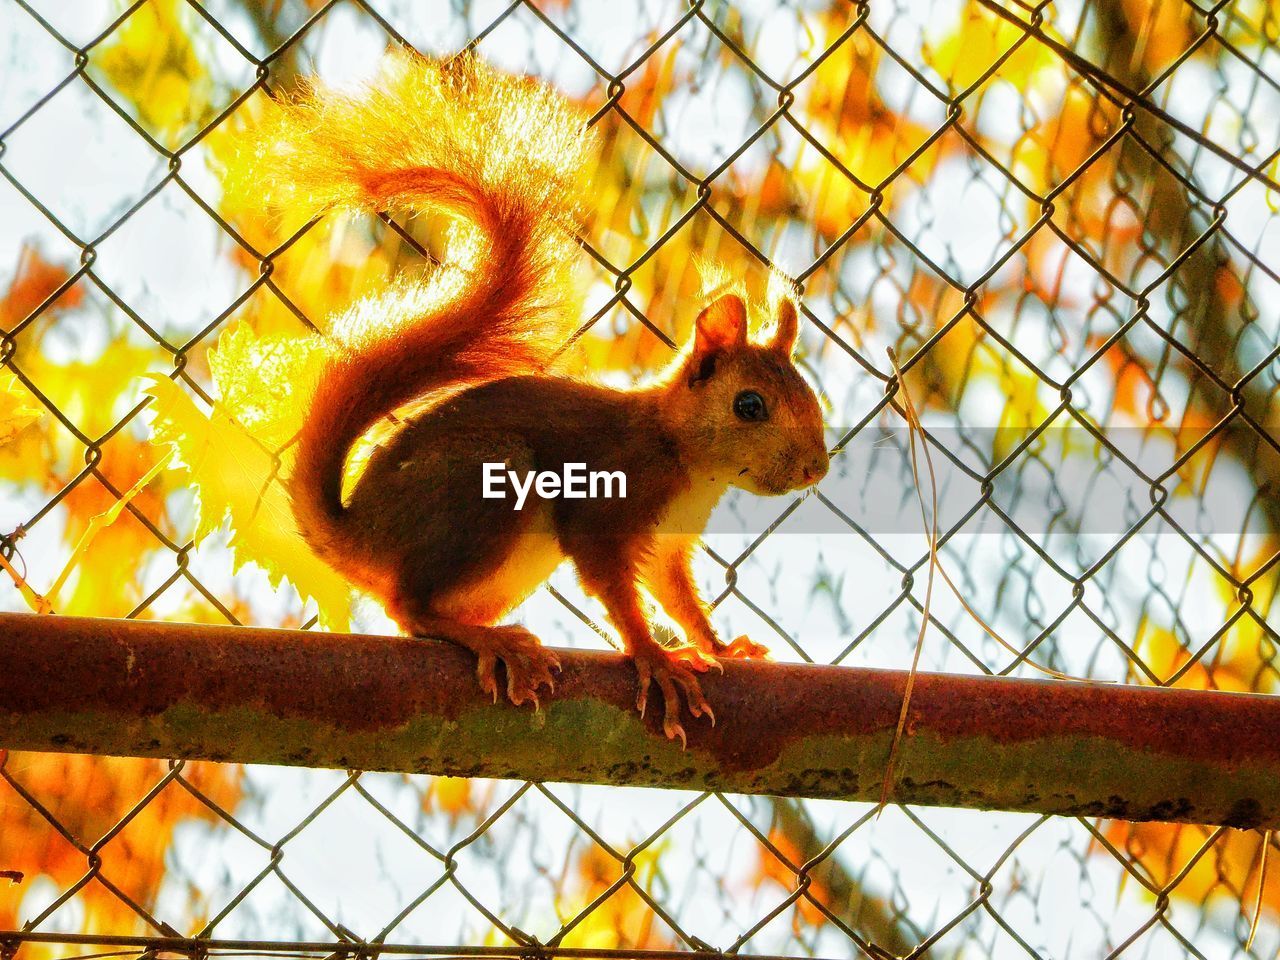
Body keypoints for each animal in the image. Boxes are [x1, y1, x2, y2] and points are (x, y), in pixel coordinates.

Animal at [229, 52, 829, 745]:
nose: (817, 468)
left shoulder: (670, 547)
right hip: (487, 482)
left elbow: (677, 597)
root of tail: (361, 532)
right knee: (409, 608)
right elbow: (612, 586)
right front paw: (655, 659)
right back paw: (491, 643)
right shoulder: (606, 504)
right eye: (749, 406)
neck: (685, 460)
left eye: (810, 396)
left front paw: (718, 647)